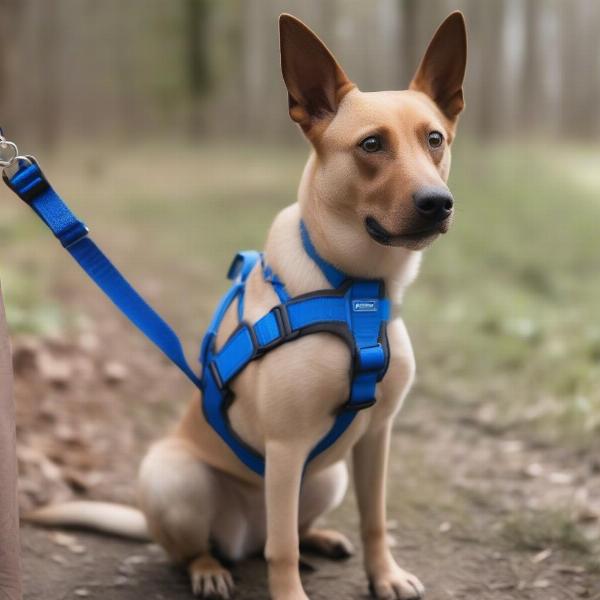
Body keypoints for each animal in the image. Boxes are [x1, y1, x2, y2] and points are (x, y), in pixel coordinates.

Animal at [27, 10, 468, 600]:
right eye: (372, 144)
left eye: (434, 139)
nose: (438, 204)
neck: (356, 289)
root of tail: (241, 533)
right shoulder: (286, 446)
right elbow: (281, 552)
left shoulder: (376, 438)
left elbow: (373, 520)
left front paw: (385, 575)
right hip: (176, 477)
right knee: (221, 545)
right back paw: (209, 569)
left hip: (328, 475)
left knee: (291, 529)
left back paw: (320, 538)